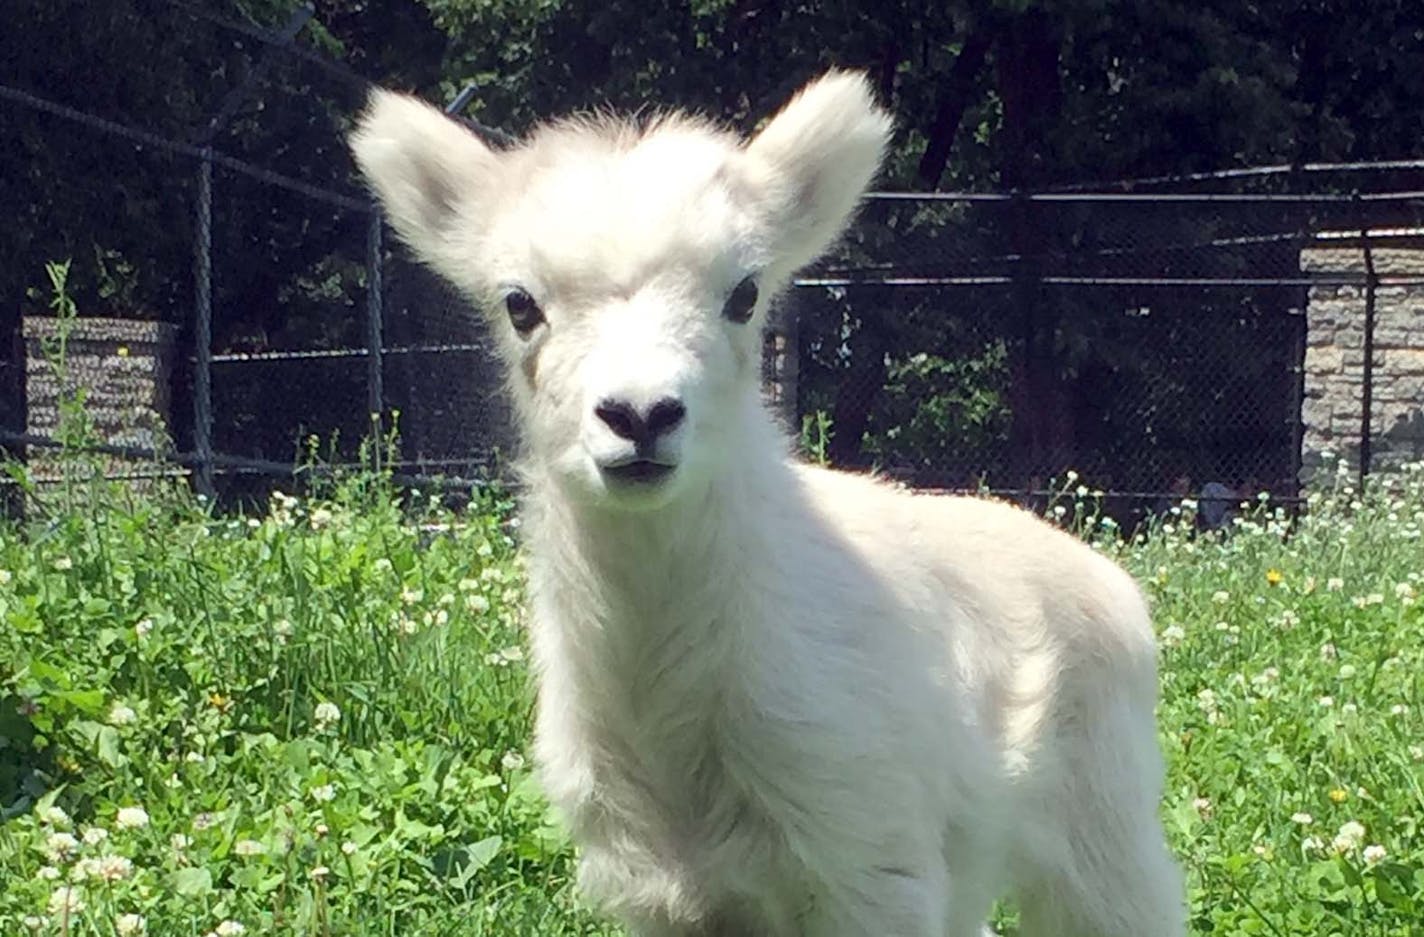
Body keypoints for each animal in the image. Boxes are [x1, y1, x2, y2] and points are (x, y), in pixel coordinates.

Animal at [350, 69, 1184, 928]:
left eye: (745, 295)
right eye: (519, 304)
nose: (640, 415)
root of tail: (1105, 574)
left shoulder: (871, 861)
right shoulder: (655, 888)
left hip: (1106, 817)